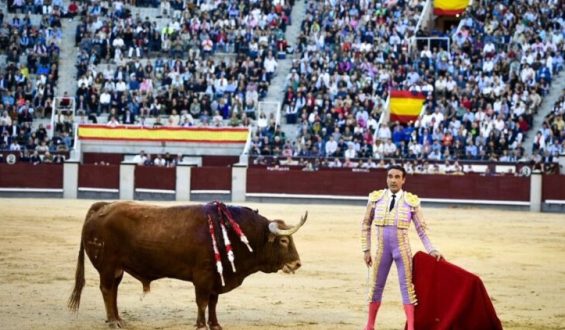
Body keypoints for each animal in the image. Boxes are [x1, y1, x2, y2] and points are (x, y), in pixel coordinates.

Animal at [67, 201, 306, 328]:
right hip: (107, 266)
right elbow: (202, 302)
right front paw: (201, 325)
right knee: (107, 290)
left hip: (117, 268)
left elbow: (213, 302)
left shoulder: (217, 278)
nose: (296, 264)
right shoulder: (203, 277)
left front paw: (215, 324)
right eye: (284, 241)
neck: (232, 232)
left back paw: (118, 319)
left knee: (114, 290)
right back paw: (112, 321)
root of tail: (102, 207)